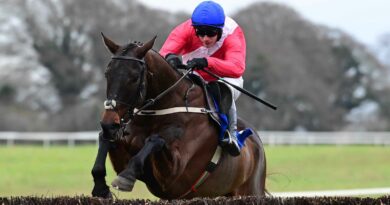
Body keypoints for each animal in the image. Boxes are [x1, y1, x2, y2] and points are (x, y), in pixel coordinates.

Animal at [90, 34, 266, 200]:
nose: (109, 123)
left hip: (251, 191)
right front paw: (100, 188)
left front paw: (126, 177)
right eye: (107, 74)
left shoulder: (173, 175)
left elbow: (155, 140)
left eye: (134, 77)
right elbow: (104, 139)